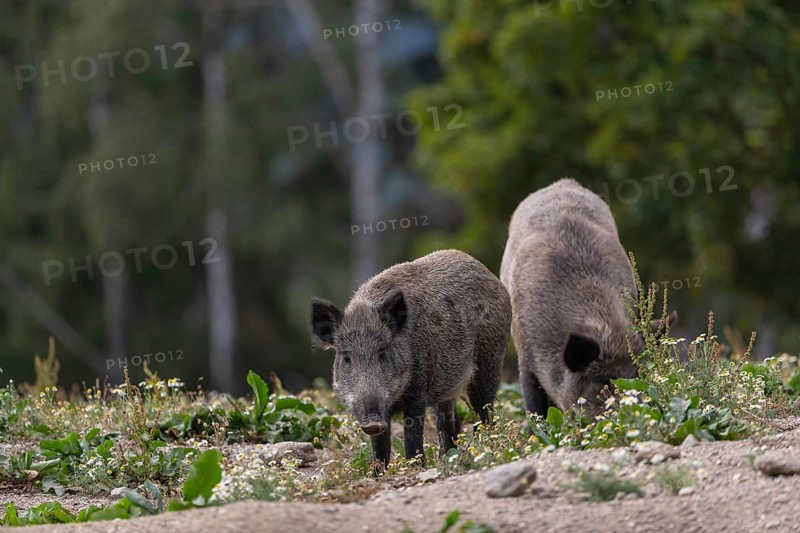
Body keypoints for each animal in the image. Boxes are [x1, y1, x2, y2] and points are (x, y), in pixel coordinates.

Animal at [310, 249, 511, 468]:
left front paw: (416, 466)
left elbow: (412, 436)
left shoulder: (418, 390)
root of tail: (492, 278)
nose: (373, 422)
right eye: (346, 357)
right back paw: (448, 458)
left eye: (382, 353)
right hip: (447, 387)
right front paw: (378, 472)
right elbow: (379, 447)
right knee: (448, 421)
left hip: (490, 359)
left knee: (485, 411)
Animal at [500, 178, 675, 418]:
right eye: (603, 381)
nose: (635, 411)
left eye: (638, 376)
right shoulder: (525, 355)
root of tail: (564, 182)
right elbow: (535, 406)